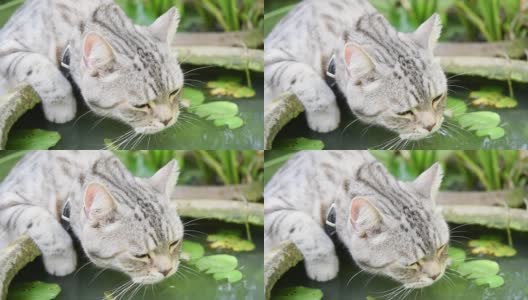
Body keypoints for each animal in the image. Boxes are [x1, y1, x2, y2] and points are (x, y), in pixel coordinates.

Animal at [0, 0, 184, 134]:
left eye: (174, 92)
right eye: (140, 106)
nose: (168, 120)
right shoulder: (6, 47)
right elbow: (42, 69)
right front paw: (61, 108)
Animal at [0, 151, 184, 284]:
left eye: (174, 243)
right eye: (140, 256)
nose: (167, 271)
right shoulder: (6, 199)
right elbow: (42, 222)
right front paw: (62, 260)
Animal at [264, 151, 450, 288]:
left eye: (441, 248)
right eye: (412, 264)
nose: (436, 275)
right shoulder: (270, 206)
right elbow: (305, 228)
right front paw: (324, 266)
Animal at [266, 0, 448, 141]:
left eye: (437, 98)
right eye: (404, 113)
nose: (431, 126)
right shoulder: (271, 56)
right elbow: (306, 80)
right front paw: (325, 117)